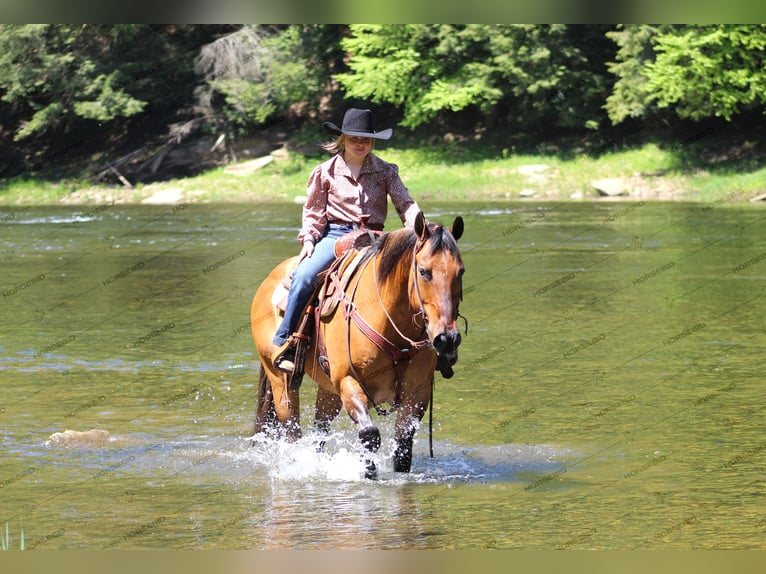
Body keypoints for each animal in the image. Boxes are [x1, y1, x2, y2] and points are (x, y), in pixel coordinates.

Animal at [252, 214, 464, 480]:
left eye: (461, 272)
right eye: (423, 271)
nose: (447, 339)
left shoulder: (417, 393)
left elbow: (403, 447)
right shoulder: (348, 381)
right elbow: (370, 435)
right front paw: (368, 473)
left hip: (328, 390)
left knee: (320, 430)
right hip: (282, 382)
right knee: (291, 428)